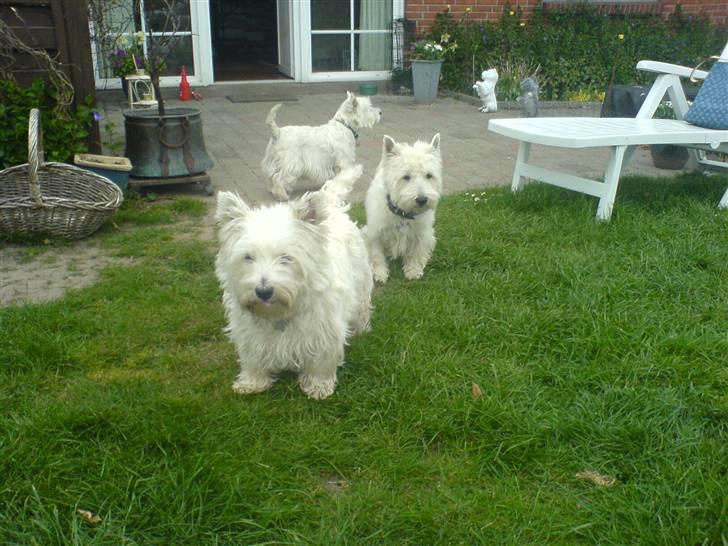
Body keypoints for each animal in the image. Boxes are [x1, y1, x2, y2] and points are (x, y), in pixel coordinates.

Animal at [213, 164, 372, 398]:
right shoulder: (249, 333)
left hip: (360, 284)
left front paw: (318, 386)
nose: (263, 291)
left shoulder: (324, 331)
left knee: (362, 307)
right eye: (248, 257)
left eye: (286, 258)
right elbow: (252, 357)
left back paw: (362, 329)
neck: (280, 314)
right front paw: (252, 382)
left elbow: (321, 362)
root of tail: (331, 207)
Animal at [362, 134, 440, 282]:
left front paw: (413, 270)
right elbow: (376, 254)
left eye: (429, 175)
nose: (422, 200)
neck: (403, 213)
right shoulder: (375, 233)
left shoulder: (421, 233)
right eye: (406, 177)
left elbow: (416, 251)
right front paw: (379, 273)